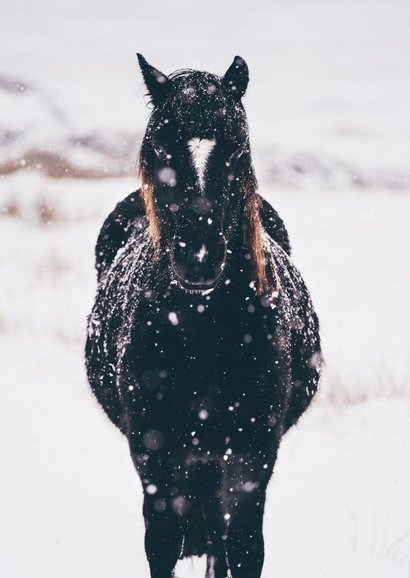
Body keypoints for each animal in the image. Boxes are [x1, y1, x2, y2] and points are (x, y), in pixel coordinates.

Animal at [86, 55, 322, 576]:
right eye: (160, 146)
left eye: (236, 148)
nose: (197, 257)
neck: (203, 330)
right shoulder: (156, 454)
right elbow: (163, 543)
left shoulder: (253, 453)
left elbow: (244, 548)